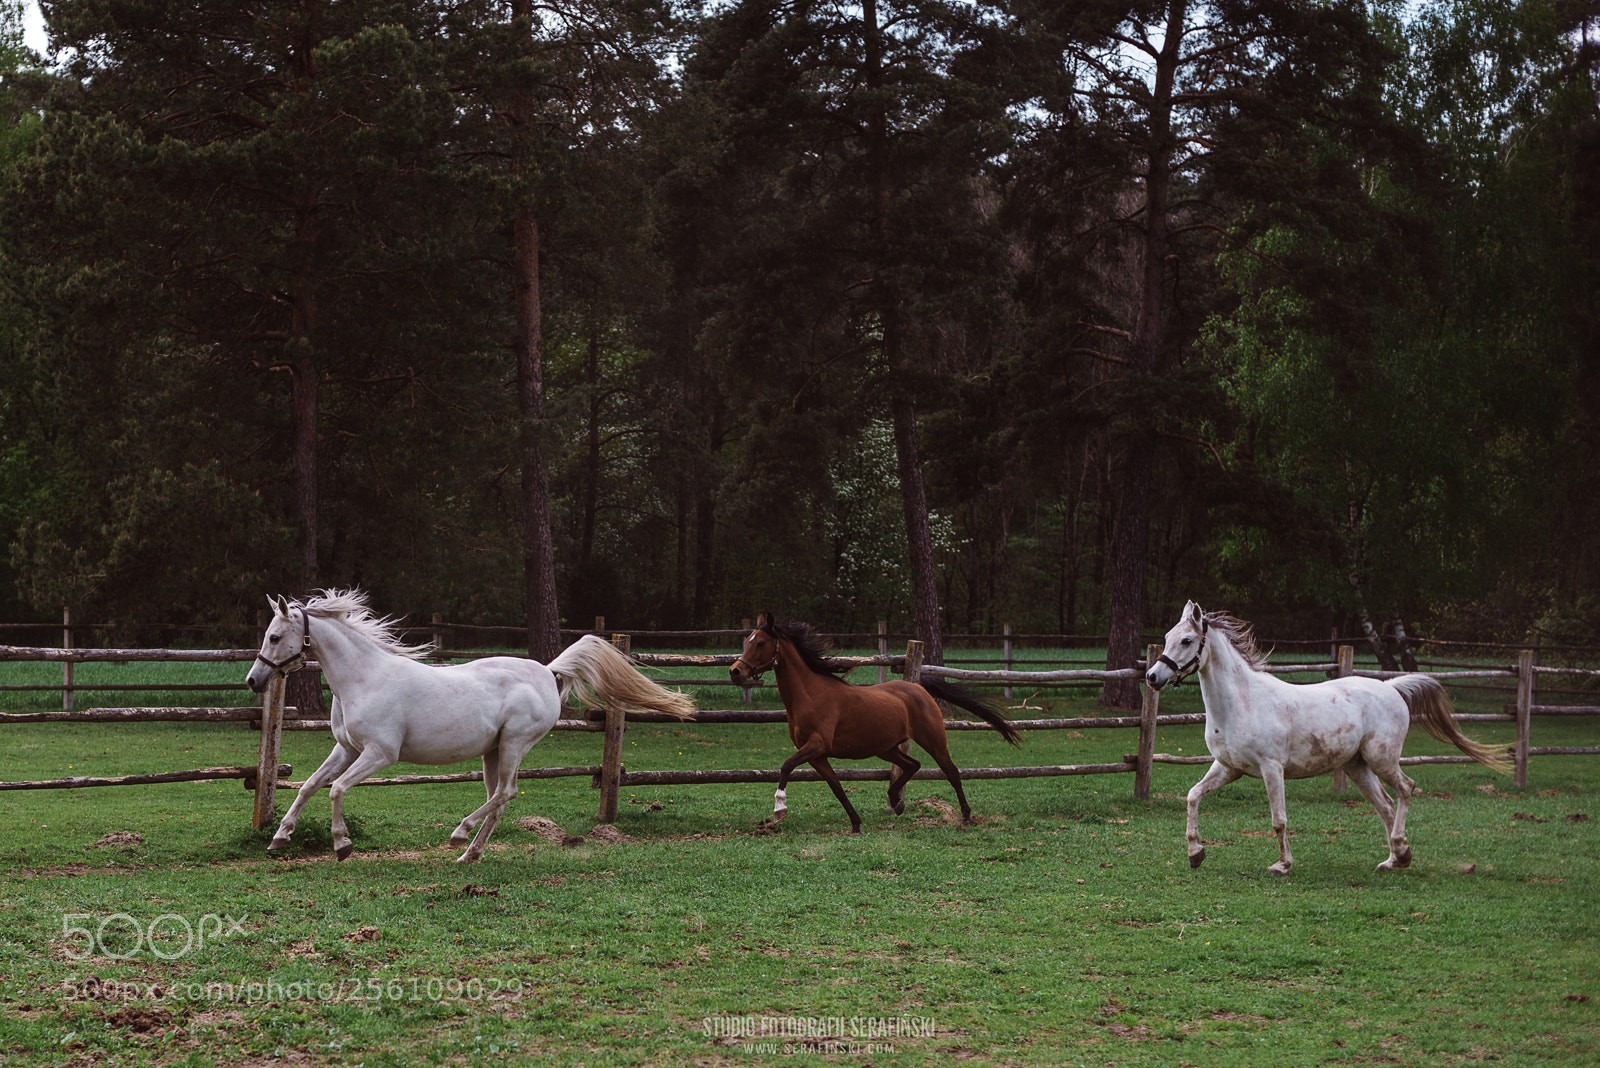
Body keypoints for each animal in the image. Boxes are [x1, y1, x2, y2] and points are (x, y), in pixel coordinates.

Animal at [245, 590, 695, 862]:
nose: (254, 680)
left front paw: (342, 844)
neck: (364, 678)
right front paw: (279, 838)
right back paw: (469, 854)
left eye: (274, 637)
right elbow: (308, 786)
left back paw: (459, 834)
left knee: (506, 793)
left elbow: (336, 789)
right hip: (492, 752)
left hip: (513, 744)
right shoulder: (348, 749)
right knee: (500, 798)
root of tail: (547, 671)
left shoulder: (380, 754)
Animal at [729, 613, 1021, 833]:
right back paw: (895, 800)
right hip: (885, 747)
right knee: (913, 765)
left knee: (952, 772)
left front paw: (779, 809)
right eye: (748, 641)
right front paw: (856, 824)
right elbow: (836, 786)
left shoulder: (817, 745)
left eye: (760, 643)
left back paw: (966, 815)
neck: (810, 694)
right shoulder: (817, 755)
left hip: (933, 740)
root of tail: (918, 688)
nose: (735, 671)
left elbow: (786, 766)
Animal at [1147, 600, 1509, 874]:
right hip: (1357, 766)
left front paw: (1282, 865)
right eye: (1167, 637)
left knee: (1406, 789)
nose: (1152, 676)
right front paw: (1196, 854)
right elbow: (1193, 796)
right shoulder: (1228, 767)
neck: (1242, 702)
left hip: (1381, 758)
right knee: (1385, 804)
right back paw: (1393, 859)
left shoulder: (1271, 768)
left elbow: (1279, 819)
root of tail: (1391, 687)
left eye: (1186, 641)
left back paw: (1402, 853)